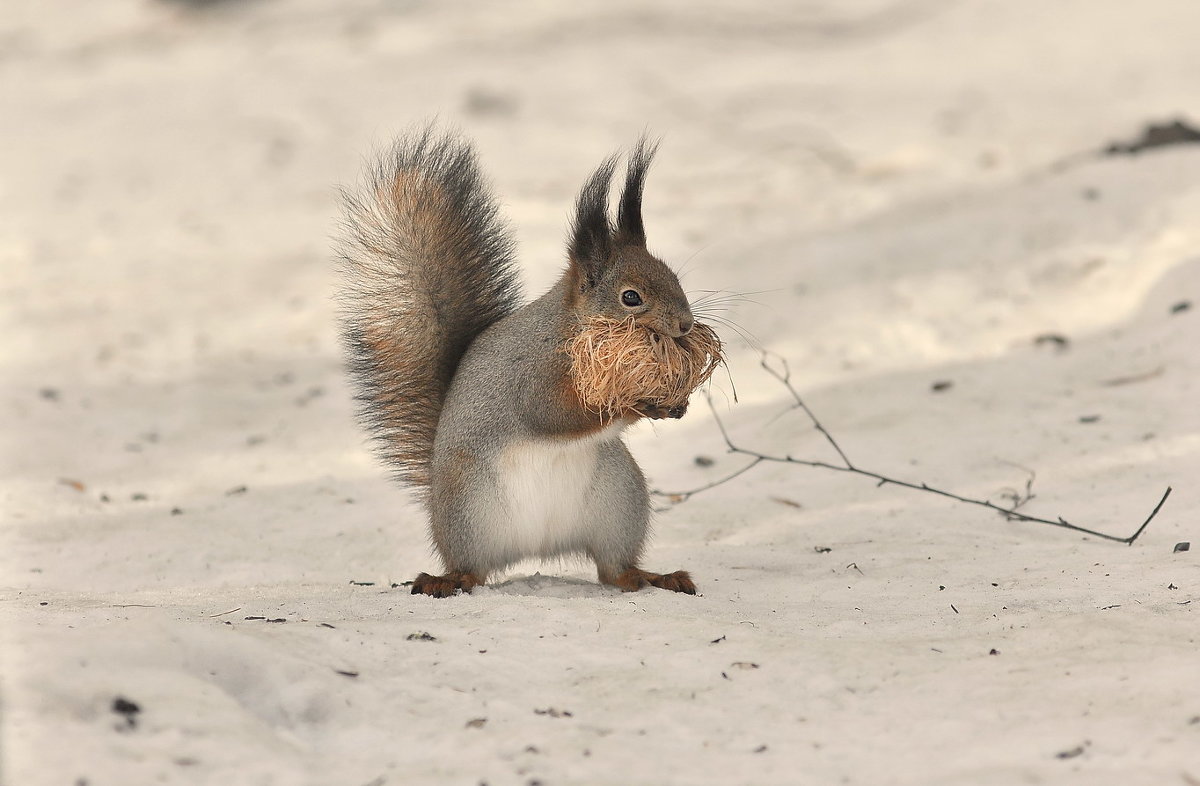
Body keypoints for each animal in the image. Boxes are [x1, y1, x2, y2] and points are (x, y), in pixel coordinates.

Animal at [338, 127, 700, 597]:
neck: (572, 329)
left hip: (619, 501)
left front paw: (676, 404)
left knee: (614, 569)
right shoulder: (533, 374)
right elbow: (553, 413)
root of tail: (536, 548)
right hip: (468, 507)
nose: (685, 324)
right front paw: (634, 403)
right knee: (472, 568)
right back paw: (448, 580)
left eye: (673, 276)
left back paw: (654, 576)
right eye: (631, 297)